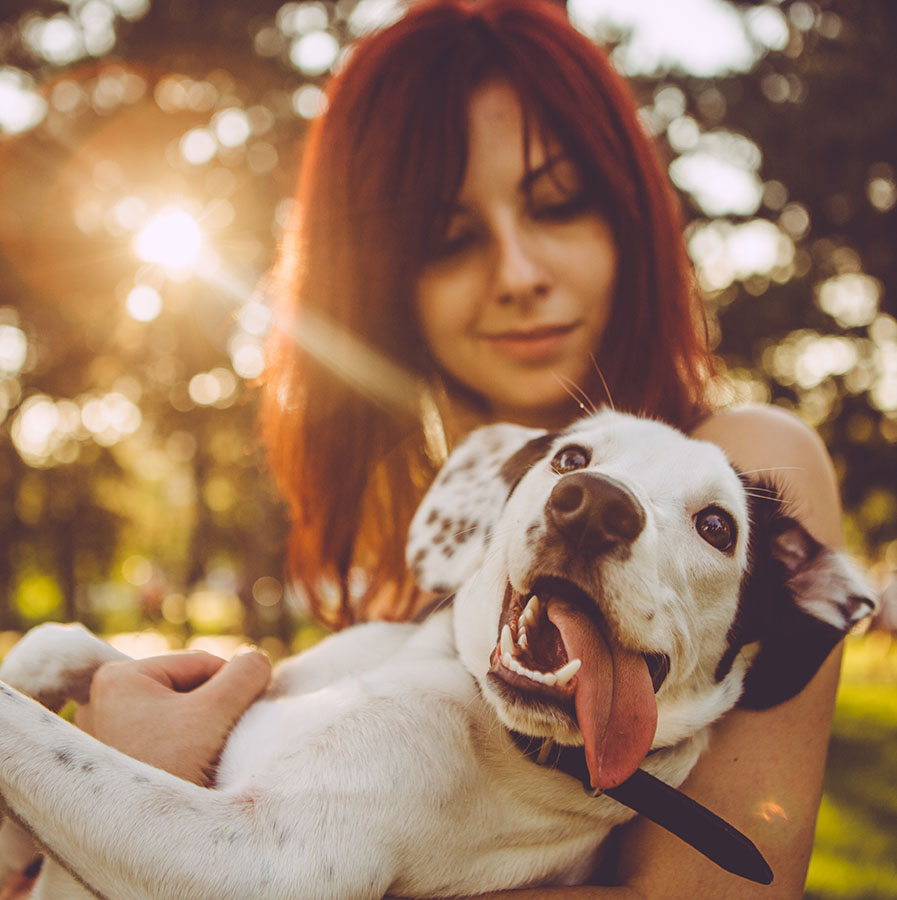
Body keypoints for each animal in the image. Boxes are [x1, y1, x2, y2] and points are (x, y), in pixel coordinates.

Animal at [0, 412, 872, 896]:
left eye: (717, 527)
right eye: (570, 460)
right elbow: (60, 642)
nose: (591, 506)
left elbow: (39, 736)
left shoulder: (265, 856)